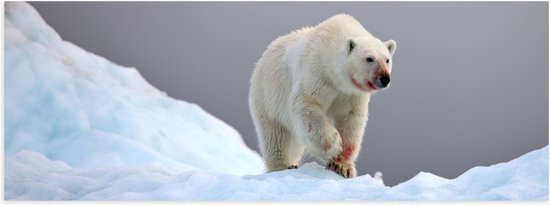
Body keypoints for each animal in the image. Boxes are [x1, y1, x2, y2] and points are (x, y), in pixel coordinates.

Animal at [249, 14, 396, 178]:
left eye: (387, 59)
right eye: (369, 58)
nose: (384, 78)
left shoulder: (350, 93)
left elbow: (351, 118)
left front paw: (342, 166)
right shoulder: (316, 73)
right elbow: (308, 105)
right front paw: (335, 145)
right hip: (268, 98)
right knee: (276, 136)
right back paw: (282, 166)